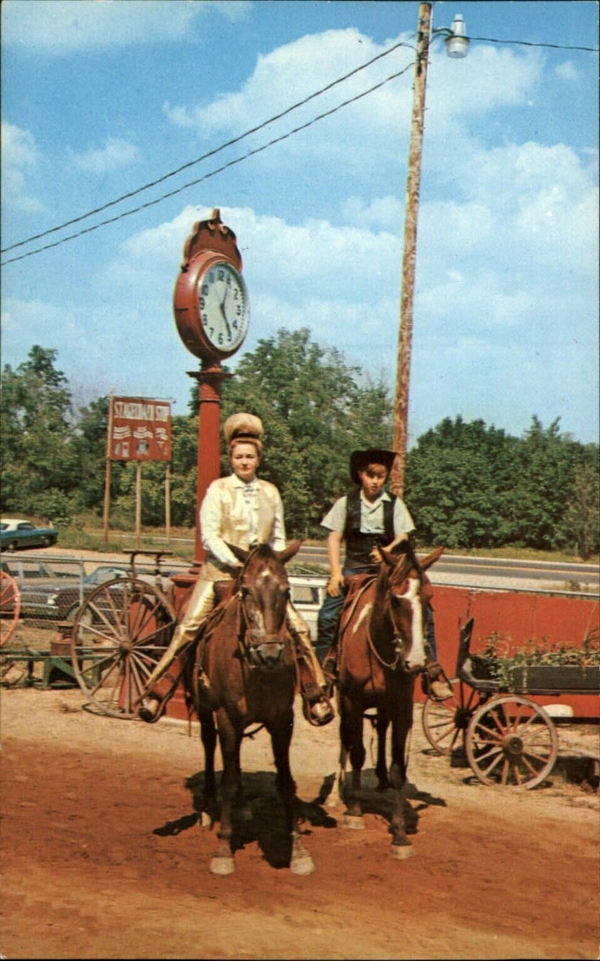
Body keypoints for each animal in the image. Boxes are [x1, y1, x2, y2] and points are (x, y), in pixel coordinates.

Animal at [185, 540, 314, 876]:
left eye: (286, 590)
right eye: (245, 590)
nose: (269, 653)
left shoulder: (283, 721)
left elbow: (286, 782)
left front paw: (298, 851)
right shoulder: (227, 718)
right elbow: (228, 783)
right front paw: (223, 851)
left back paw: (243, 808)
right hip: (205, 709)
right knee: (209, 746)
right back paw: (208, 809)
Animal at [336, 544, 442, 860]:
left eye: (428, 597)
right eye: (396, 598)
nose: (416, 661)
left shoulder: (401, 707)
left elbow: (398, 768)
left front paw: (400, 835)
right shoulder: (352, 702)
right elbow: (357, 753)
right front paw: (355, 811)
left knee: (381, 728)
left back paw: (381, 778)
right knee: (348, 742)